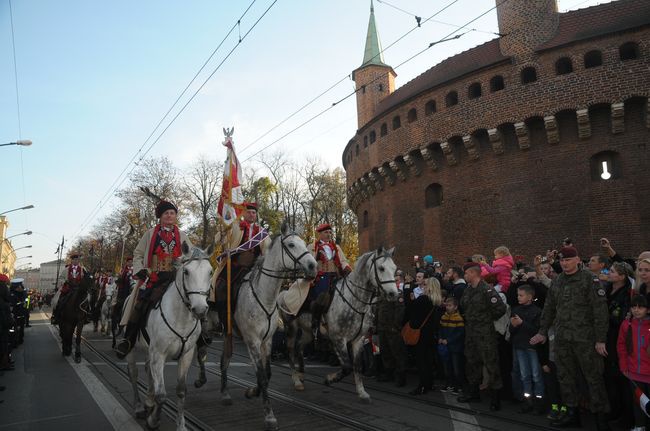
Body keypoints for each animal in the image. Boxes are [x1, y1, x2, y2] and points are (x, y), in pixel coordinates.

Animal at [127, 243, 215, 431]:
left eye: (210, 272)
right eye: (186, 272)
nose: (200, 310)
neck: (180, 317)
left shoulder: (186, 355)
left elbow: (181, 391)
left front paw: (181, 425)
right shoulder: (159, 354)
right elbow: (162, 395)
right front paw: (153, 421)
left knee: (148, 370)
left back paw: (148, 402)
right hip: (132, 349)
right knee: (134, 374)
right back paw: (139, 407)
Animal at [210, 223, 316, 431]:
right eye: (291, 244)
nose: (313, 266)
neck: (264, 295)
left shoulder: (266, 341)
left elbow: (266, 373)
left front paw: (252, 392)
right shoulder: (252, 341)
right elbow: (261, 375)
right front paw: (269, 416)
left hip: (227, 335)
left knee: (224, 359)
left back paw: (225, 393)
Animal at [280, 246, 398, 404]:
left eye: (394, 268)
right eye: (381, 268)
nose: (394, 294)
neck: (354, 301)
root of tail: (285, 292)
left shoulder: (358, 340)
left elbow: (356, 366)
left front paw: (362, 392)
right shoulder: (338, 338)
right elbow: (347, 367)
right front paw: (329, 379)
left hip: (308, 332)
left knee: (299, 348)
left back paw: (301, 375)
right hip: (291, 328)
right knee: (291, 352)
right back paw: (296, 380)